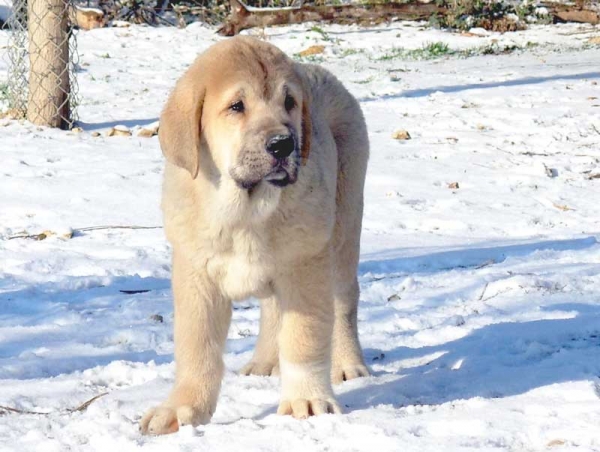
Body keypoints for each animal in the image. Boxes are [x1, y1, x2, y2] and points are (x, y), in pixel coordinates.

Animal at [141, 37, 368, 436]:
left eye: (289, 102)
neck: (243, 215)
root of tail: (321, 72)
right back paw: (264, 362)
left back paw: (347, 363)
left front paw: (307, 400)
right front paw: (181, 408)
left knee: (344, 301)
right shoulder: (196, 275)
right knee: (272, 308)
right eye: (236, 106)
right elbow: (196, 348)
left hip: (343, 231)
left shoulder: (305, 265)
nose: (282, 144)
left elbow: (303, 339)